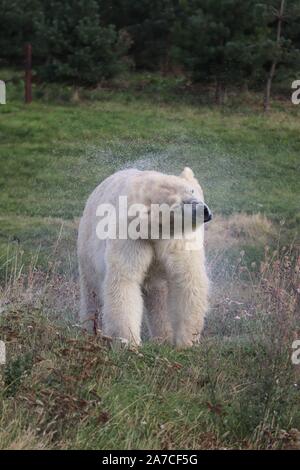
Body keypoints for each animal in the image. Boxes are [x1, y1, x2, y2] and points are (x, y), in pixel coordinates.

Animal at [78, 167, 212, 346]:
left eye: (191, 190)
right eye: (177, 205)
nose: (204, 211)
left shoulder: (177, 240)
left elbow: (187, 278)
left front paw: (187, 340)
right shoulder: (131, 234)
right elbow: (124, 279)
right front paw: (127, 340)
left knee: (158, 296)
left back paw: (163, 337)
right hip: (87, 249)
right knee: (90, 291)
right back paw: (89, 330)